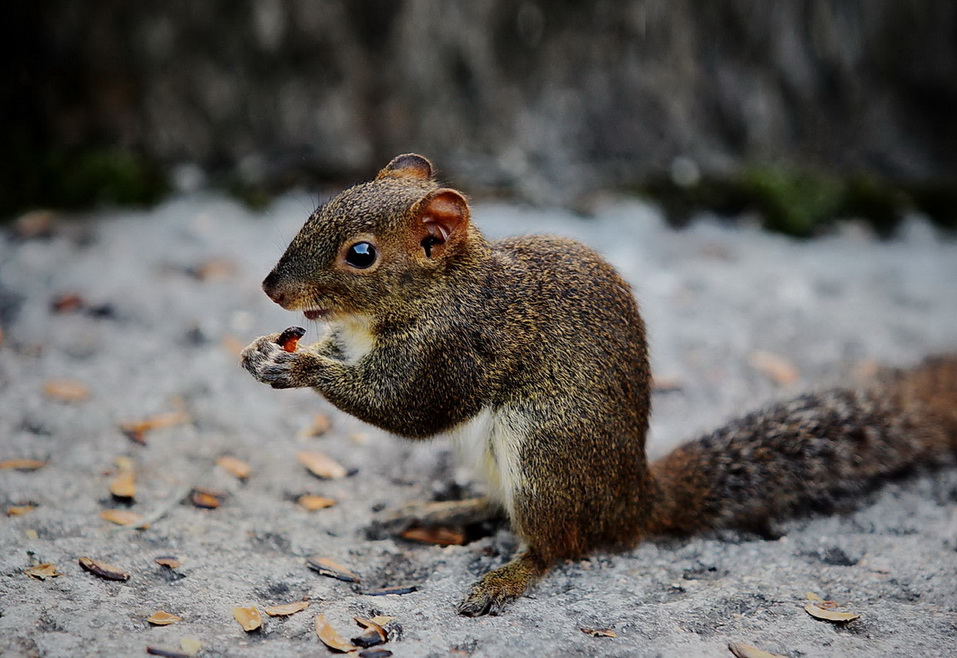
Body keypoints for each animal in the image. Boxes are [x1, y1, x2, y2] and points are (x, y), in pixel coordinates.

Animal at [243, 154, 956, 616]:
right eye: (317, 210)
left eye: (360, 254)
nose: (271, 288)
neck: (442, 288)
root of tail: (633, 502)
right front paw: (265, 350)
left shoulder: (460, 347)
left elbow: (410, 408)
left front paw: (296, 368)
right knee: (503, 512)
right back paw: (439, 512)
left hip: (545, 454)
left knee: (560, 544)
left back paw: (507, 576)